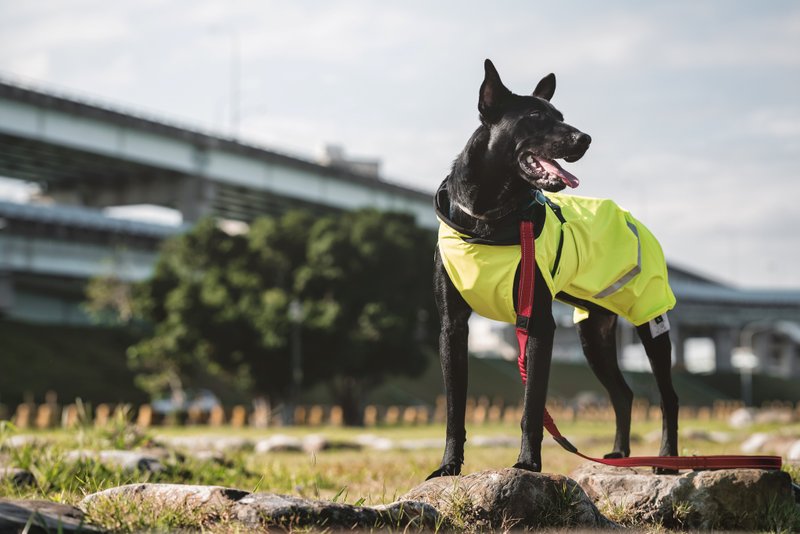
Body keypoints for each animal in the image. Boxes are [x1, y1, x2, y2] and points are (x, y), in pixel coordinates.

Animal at [428, 60, 680, 480]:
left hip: (649, 318)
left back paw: (668, 461)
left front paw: (528, 463)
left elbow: (532, 407)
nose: (585, 138)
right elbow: (453, 407)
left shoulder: (538, 324)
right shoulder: (452, 327)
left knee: (668, 396)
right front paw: (448, 466)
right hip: (593, 335)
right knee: (624, 393)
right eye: (535, 117)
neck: (488, 217)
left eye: (561, 116)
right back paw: (619, 454)